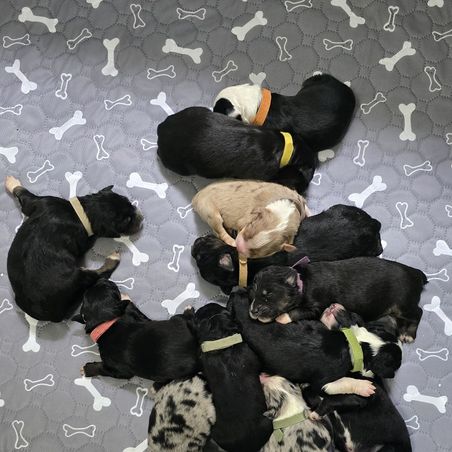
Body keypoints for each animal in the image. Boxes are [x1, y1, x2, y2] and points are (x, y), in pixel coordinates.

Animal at [6, 176, 142, 322]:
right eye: (128, 220)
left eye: (128, 201)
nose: (141, 217)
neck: (84, 212)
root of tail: (52, 316)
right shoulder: (83, 240)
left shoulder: (43, 201)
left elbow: (23, 193)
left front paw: (11, 182)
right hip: (79, 276)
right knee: (100, 273)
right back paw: (113, 258)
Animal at [230, 289, 402, 396]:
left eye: (352, 315)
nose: (333, 305)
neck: (355, 342)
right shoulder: (324, 381)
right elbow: (342, 382)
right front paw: (365, 387)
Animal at [250, 256, 427, 341]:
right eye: (254, 291)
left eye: (268, 295)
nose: (253, 311)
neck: (302, 282)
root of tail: (416, 274)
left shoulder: (317, 306)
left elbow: (298, 311)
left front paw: (282, 317)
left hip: (403, 303)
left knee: (418, 312)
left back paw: (409, 334)